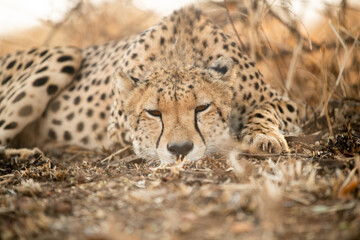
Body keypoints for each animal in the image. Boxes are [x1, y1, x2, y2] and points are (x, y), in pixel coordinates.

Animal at [0, 7, 300, 164]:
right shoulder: (115, 131)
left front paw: (264, 137)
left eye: (201, 108)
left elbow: (262, 111)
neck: (178, 52)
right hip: (66, 53)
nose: (180, 150)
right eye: (154, 113)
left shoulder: (289, 103)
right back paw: (26, 153)